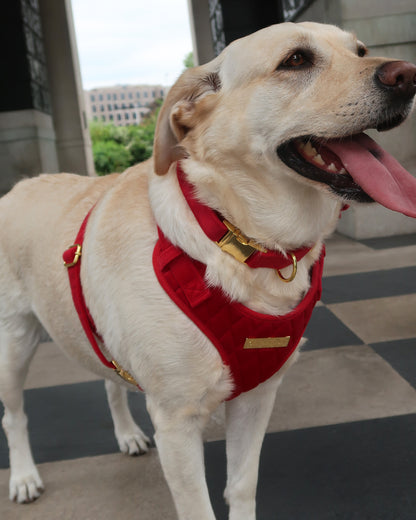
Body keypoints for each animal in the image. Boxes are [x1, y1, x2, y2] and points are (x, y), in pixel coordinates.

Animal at [0, 21, 416, 520]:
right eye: (296, 60)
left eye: (361, 50)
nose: (407, 75)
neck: (238, 240)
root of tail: (19, 186)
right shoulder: (177, 424)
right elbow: (198, 508)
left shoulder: (257, 398)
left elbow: (242, 486)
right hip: (13, 346)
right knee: (14, 415)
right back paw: (24, 477)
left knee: (109, 383)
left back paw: (126, 434)